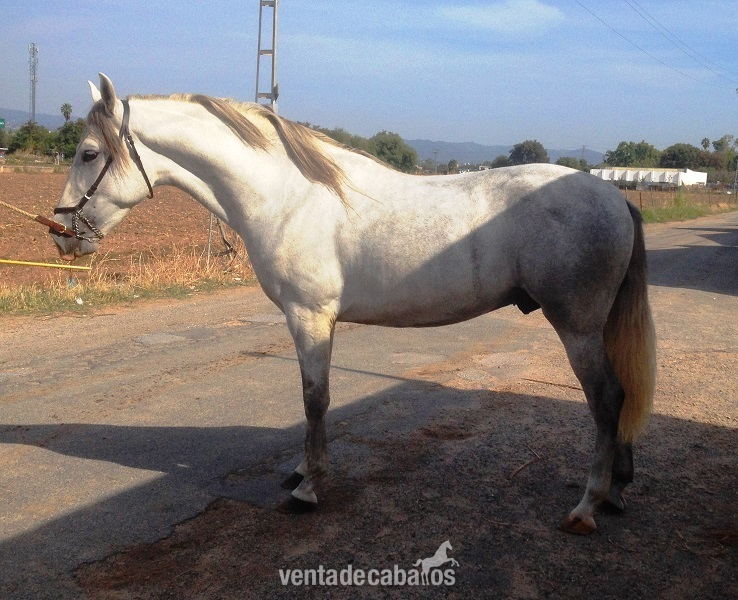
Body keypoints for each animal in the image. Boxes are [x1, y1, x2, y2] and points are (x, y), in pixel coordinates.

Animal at [51, 74, 656, 535]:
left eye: (89, 153)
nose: (60, 233)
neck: (288, 197)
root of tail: (614, 196)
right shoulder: (313, 321)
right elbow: (310, 401)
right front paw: (301, 471)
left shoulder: (309, 317)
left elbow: (315, 399)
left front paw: (309, 488)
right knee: (618, 397)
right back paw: (616, 492)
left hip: (577, 329)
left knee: (608, 398)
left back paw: (587, 505)